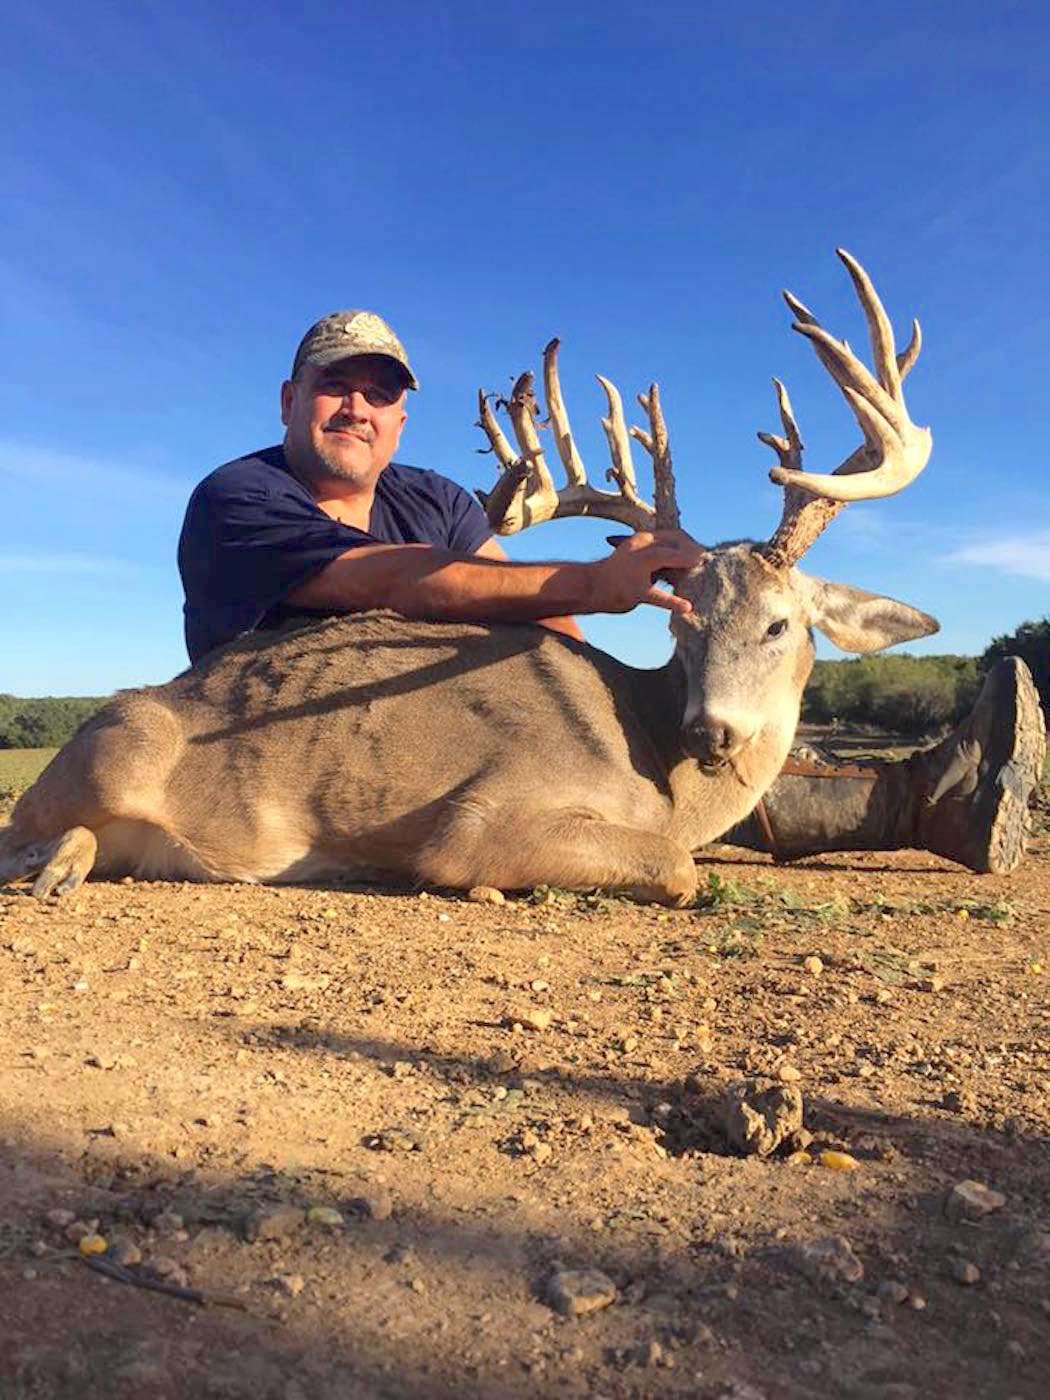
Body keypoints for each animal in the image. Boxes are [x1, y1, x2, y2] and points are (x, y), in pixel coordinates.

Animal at [0, 251, 938, 907]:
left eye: (780, 623)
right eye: (681, 623)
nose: (713, 731)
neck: (658, 770)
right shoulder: (477, 818)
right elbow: (677, 867)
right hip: (116, 751)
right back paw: (60, 869)